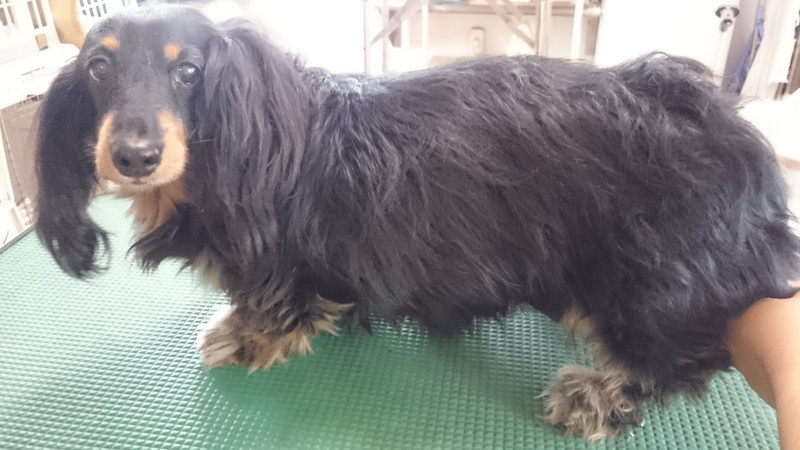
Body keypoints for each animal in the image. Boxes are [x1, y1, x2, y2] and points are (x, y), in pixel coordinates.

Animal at [35, 5, 800, 441]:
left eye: (189, 70)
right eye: (98, 68)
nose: (133, 156)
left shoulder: (284, 265)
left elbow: (278, 304)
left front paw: (249, 336)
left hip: (650, 276)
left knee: (692, 356)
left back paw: (601, 391)